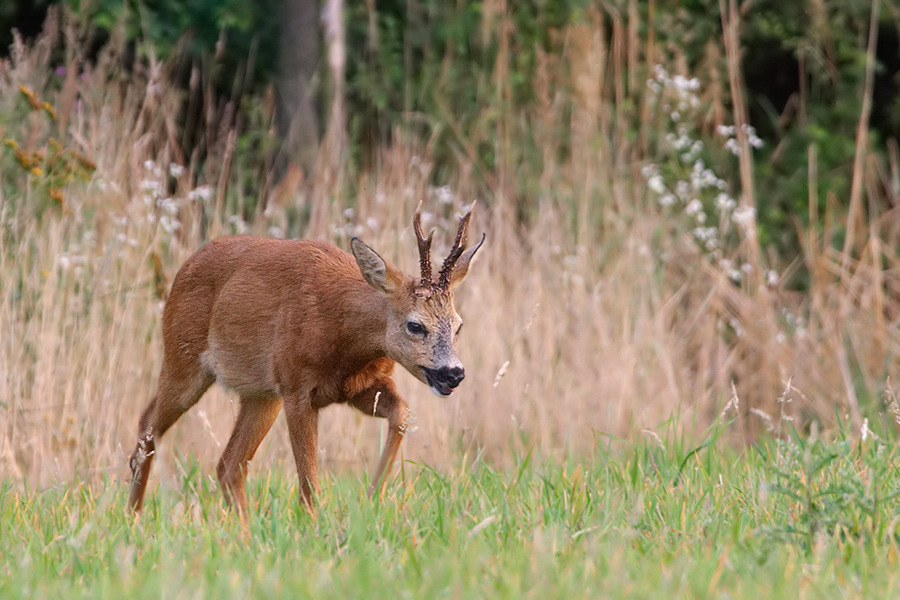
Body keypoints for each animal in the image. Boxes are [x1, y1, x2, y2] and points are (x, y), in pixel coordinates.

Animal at [126, 200, 486, 516]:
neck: (343, 337)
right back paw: (134, 516)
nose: (454, 373)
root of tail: (181, 270)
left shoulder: (357, 386)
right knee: (148, 425)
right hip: (184, 358)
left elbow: (403, 414)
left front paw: (373, 497)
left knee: (228, 465)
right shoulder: (297, 388)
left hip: (260, 394)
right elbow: (309, 481)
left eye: (458, 325)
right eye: (415, 325)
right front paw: (315, 526)